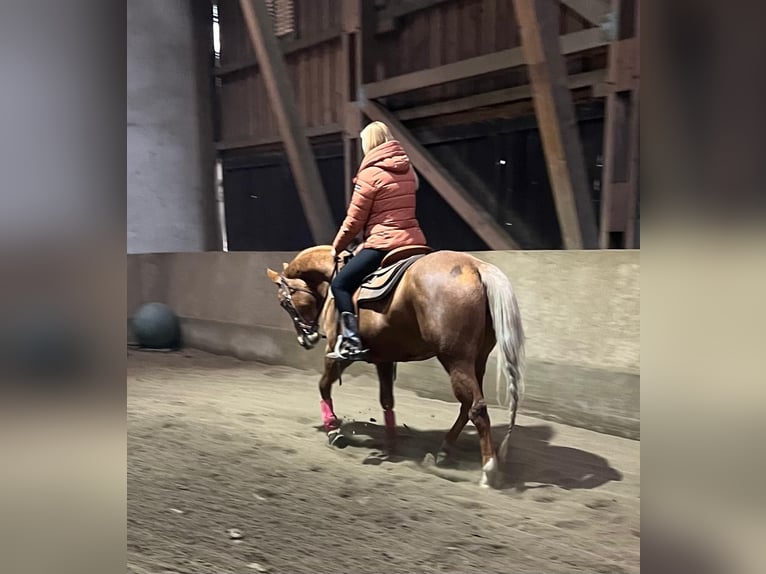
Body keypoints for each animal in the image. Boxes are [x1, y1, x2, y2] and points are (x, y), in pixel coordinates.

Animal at [266, 245, 525, 488]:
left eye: (283, 302)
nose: (305, 339)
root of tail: (475, 267)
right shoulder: (384, 358)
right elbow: (387, 400)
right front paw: (391, 444)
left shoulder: (337, 354)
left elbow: (323, 386)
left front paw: (333, 431)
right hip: (476, 360)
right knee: (467, 406)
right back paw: (443, 451)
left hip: (455, 359)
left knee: (476, 408)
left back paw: (488, 471)